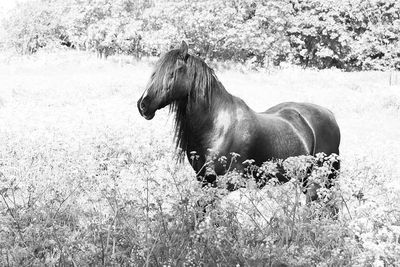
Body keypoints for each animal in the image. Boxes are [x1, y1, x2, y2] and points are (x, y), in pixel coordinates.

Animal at [138, 41, 340, 201]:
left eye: (172, 73)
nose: (143, 105)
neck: (216, 126)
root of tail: (330, 114)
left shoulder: (223, 184)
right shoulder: (204, 181)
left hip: (320, 180)